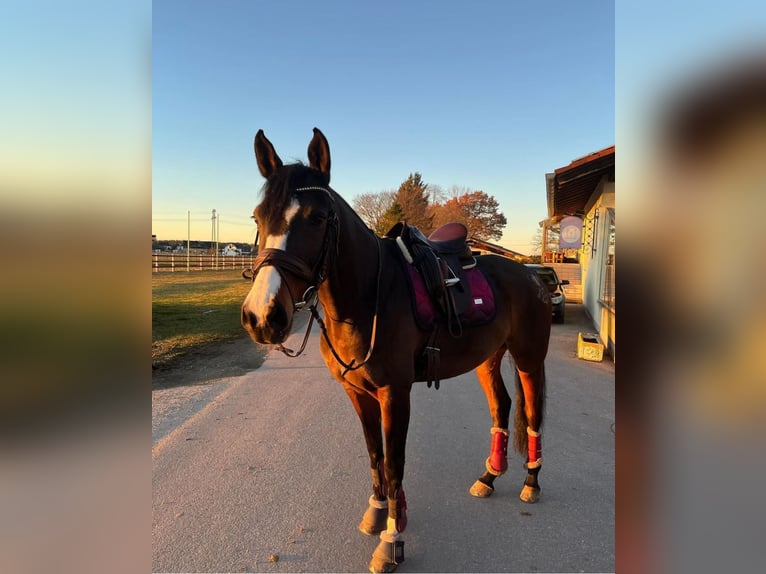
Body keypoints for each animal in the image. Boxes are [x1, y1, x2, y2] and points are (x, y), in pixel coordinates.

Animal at [243, 128, 548, 572]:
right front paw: (379, 511)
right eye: (257, 217)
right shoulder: (358, 392)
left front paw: (391, 539)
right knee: (502, 407)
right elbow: (375, 454)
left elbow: (394, 463)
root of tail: (532, 274)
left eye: (316, 217)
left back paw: (531, 481)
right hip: (487, 360)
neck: (369, 297)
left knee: (534, 412)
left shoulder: (395, 394)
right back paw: (489, 476)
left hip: (528, 358)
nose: (262, 316)